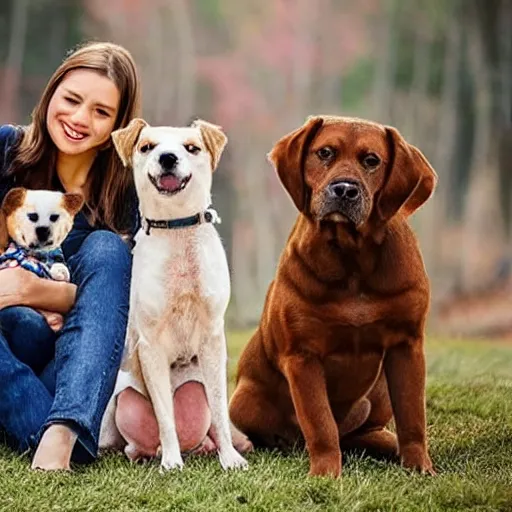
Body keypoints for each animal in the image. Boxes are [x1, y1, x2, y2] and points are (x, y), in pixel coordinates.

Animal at [99, 118, 248, 470]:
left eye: (192, 147)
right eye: (147, 146)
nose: (167, 157)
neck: (177, 227)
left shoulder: (213, 338)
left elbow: (219, 408)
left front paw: (230, 458)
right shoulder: (151, 343)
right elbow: (165, 415)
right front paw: (171, 461)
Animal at [230, 115, 438, 476]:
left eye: (371, 160)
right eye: (324, 152)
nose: (344, 189)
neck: (352, 258)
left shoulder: (407, 345)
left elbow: (413, 417)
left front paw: (419, 467)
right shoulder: (303, 356)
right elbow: (320, 423)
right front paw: (326, 473)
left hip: (378, 395)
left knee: (368, 431)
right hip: (243, 401)